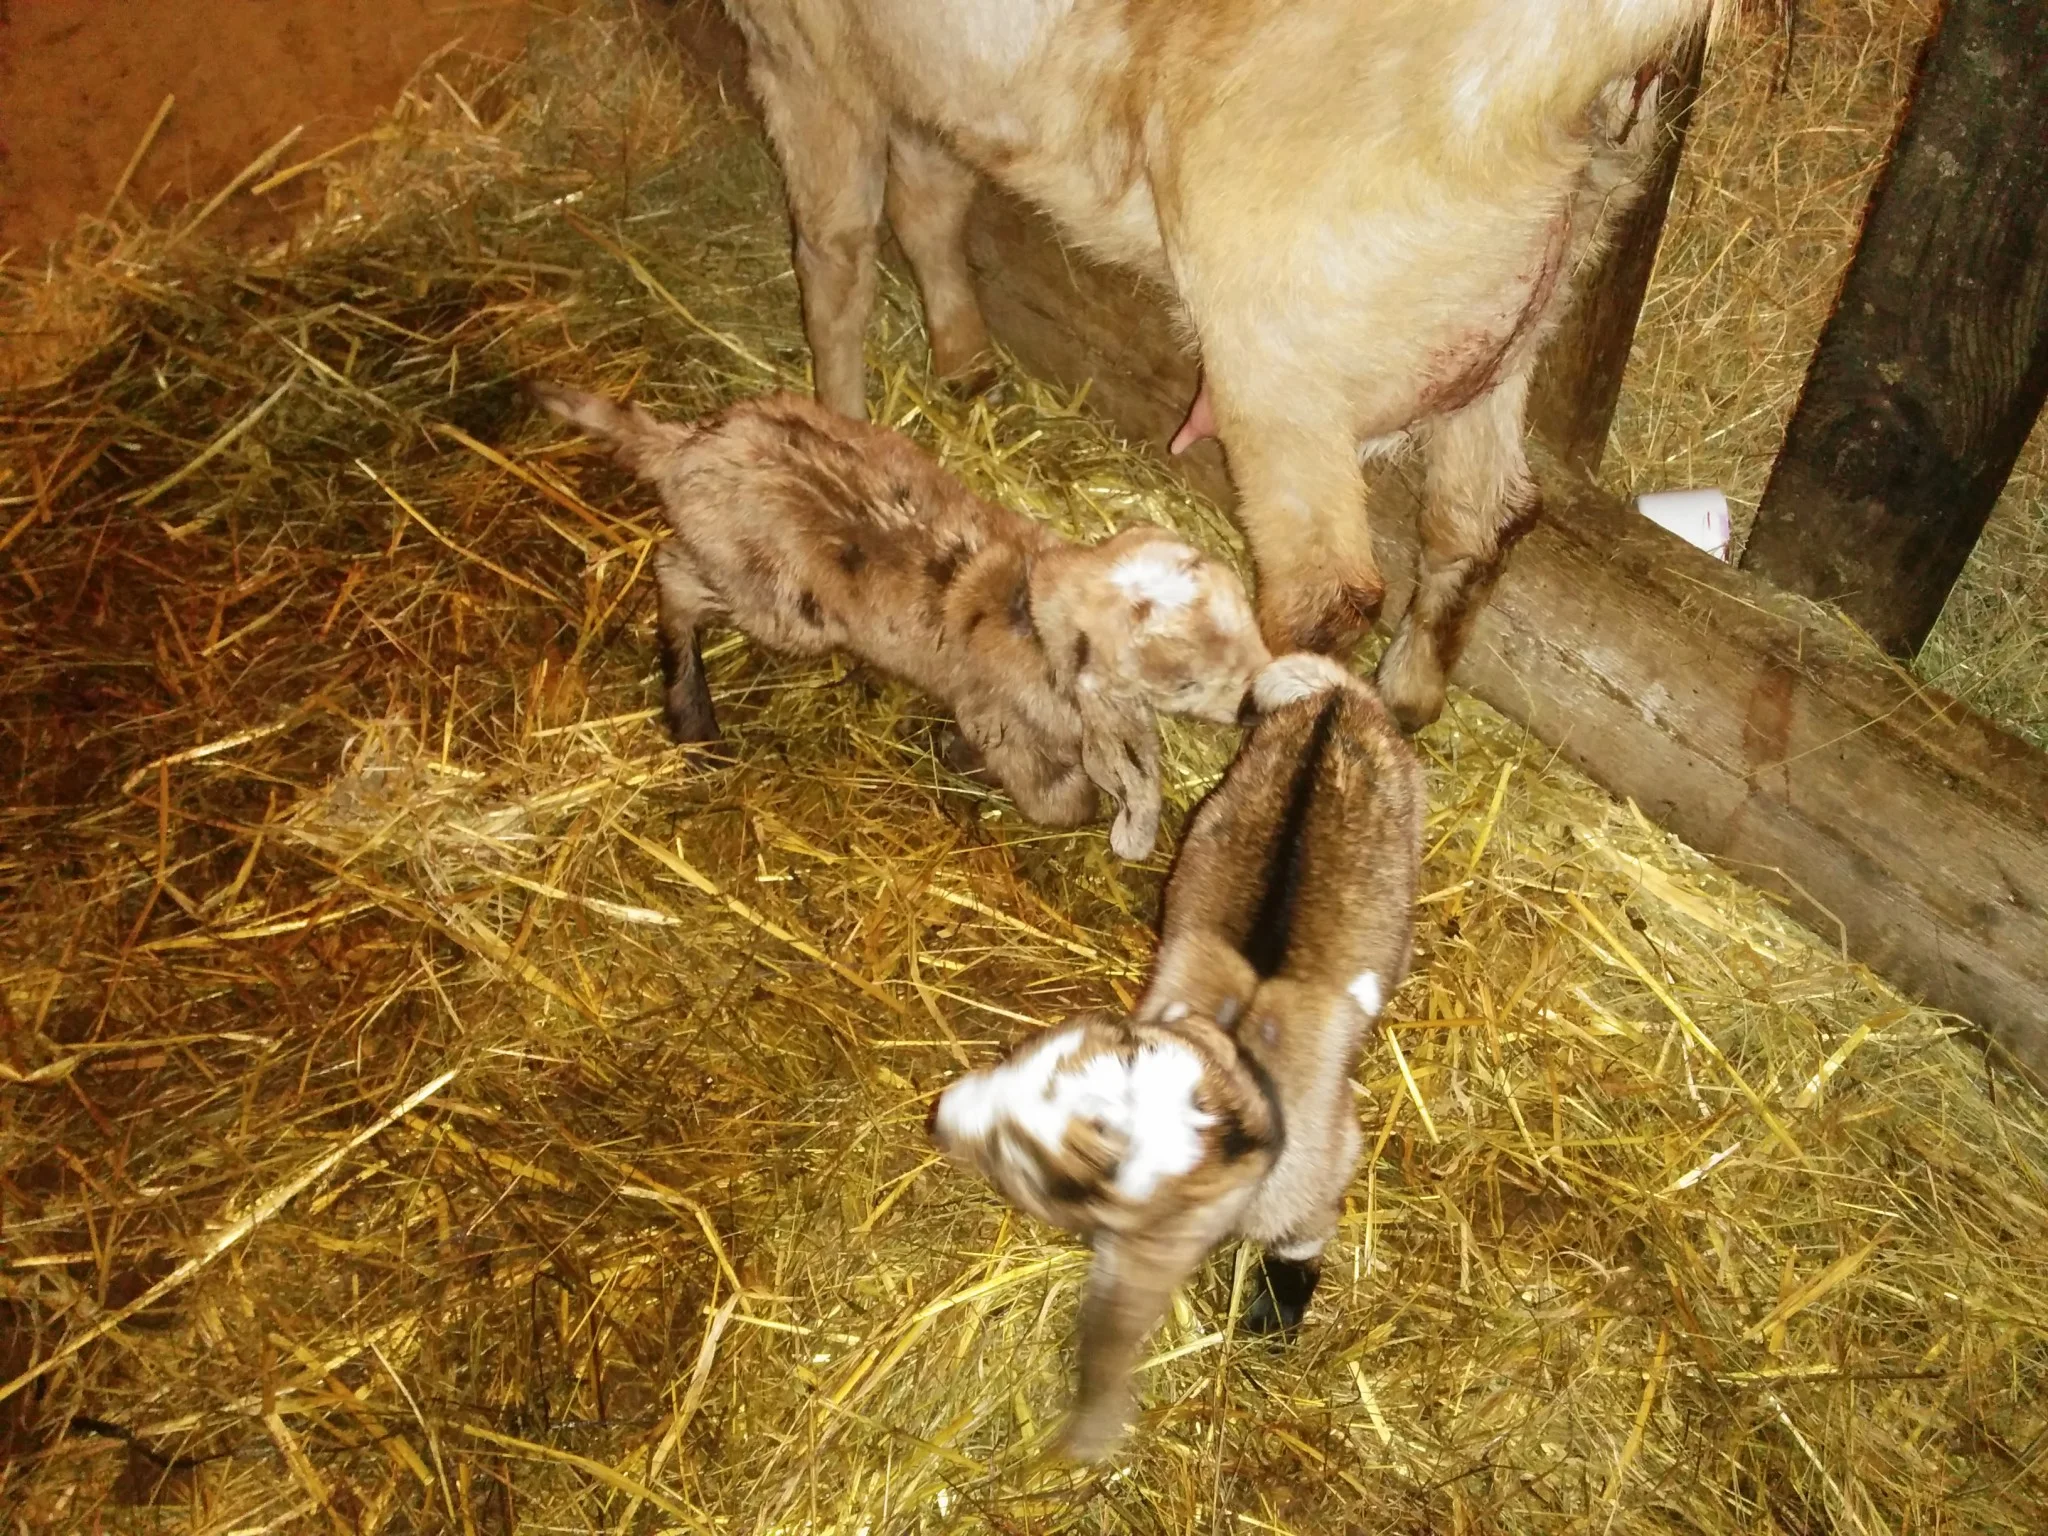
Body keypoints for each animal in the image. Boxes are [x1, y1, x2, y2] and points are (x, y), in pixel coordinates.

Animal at [534, 384, 1269, 860]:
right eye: (1182, 681)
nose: (1256, 703)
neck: (1027, 607)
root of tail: (684, 448)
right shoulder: (998, 718)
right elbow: (1060, 801)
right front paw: (973, 766)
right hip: (778, 606)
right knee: (672, 574)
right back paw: (694, 716)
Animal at [717, 0, 1719, 729]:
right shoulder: (925, 75)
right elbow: (932, 199)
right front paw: (963, 360)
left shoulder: (806, 50)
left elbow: (836, 258)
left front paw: (833, 428)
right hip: (1511, 324)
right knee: (1484, 519)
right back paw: (1408, 699)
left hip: (1278, 345)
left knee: (1326, 593)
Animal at [930, 652, 1423, 1456]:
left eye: (1051, 1178)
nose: (945, 1117)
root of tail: (1335, 699)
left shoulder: (1317, 1176)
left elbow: (1301, 1241)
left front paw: (1272, 1319)